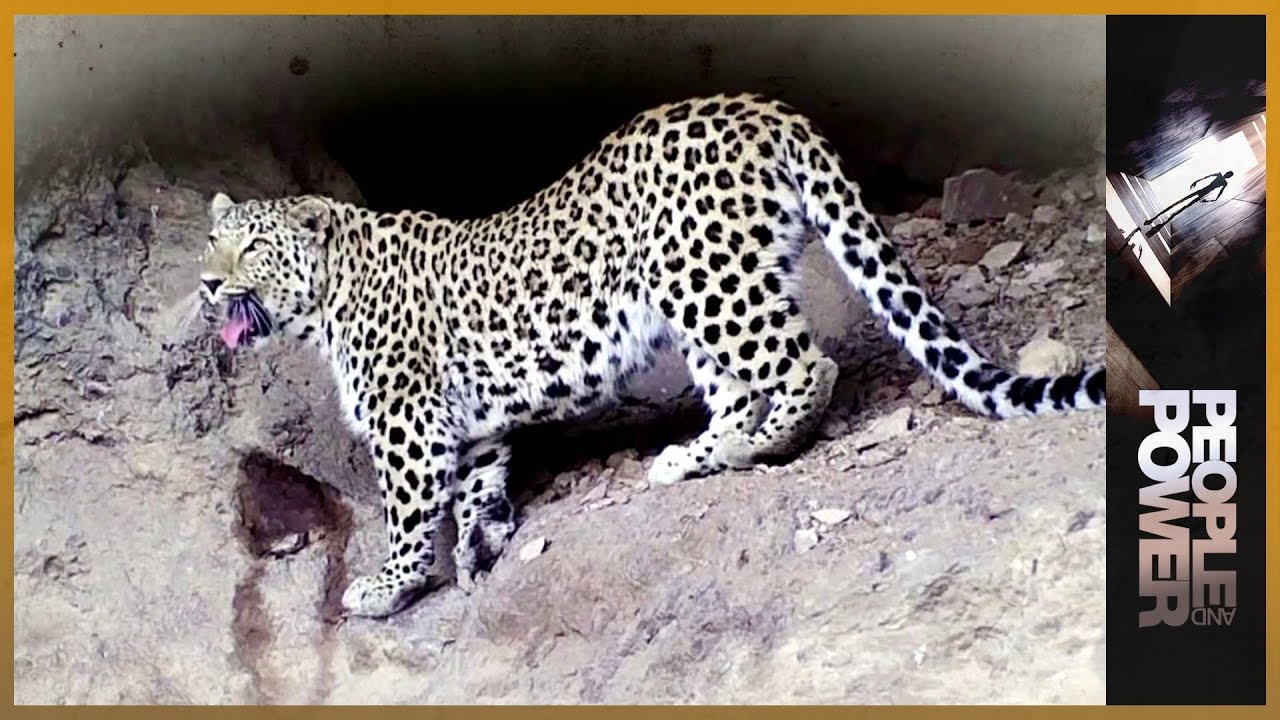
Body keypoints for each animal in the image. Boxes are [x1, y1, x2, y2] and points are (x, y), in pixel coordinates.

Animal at [198, 92, 1106, 619]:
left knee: (802, 363)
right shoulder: (469, 426)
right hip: (711, 291)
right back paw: (692, 456)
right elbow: (480, 488)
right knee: (741, 384)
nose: (208, 283)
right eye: (212, 241)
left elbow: (410, 512)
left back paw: (756, 444)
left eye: (253, 248)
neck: (325, 299)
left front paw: (389, 586)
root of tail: (763, 107)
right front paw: (483, 550)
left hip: (702, 276)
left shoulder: (408, 427)